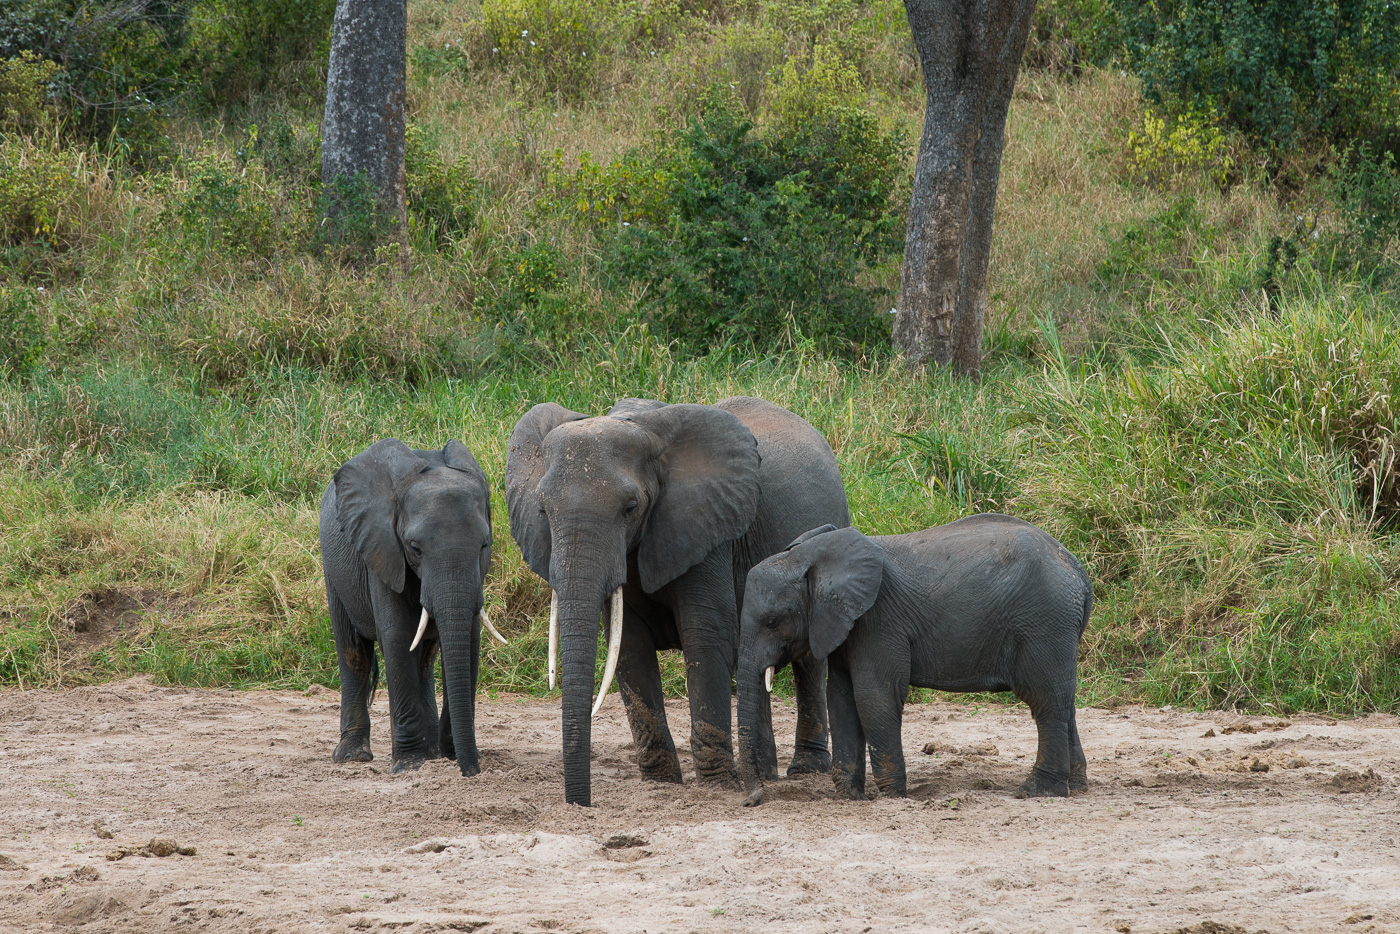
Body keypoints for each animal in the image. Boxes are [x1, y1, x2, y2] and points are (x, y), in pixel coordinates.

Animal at [320, 439, 506, 772]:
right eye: (415, 548)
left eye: (485, 545)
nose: (472, 772)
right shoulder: (382, 549)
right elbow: (398, 637)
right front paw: (408, 766)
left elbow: (469, 641)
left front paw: (446, 756)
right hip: (334, 568)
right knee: (354, 651)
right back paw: (353, 756)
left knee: (425, 658)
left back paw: (432, 754)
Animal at [506, 392, 845, 806]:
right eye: (542, 509)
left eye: (631, 507)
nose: (579, 803)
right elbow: (629, 648)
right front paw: (662, 784)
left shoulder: (708, 530)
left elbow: (707, 638)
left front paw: (718, 786)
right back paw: (763, 774)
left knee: (809, 661)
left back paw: (804, 771)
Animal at [733, 515, 1092, 806]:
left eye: (772, 621)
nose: (752, 800)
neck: (812, 556)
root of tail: (1077, 569)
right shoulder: (845, 626)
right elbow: (841, 697)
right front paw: (850, 797)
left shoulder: (878, 621)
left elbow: (875, 697)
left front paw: (893, 797)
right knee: (1065, 701)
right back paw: (1076, 786)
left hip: (1044, 622)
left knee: (1045, 701)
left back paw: (1036, 791)